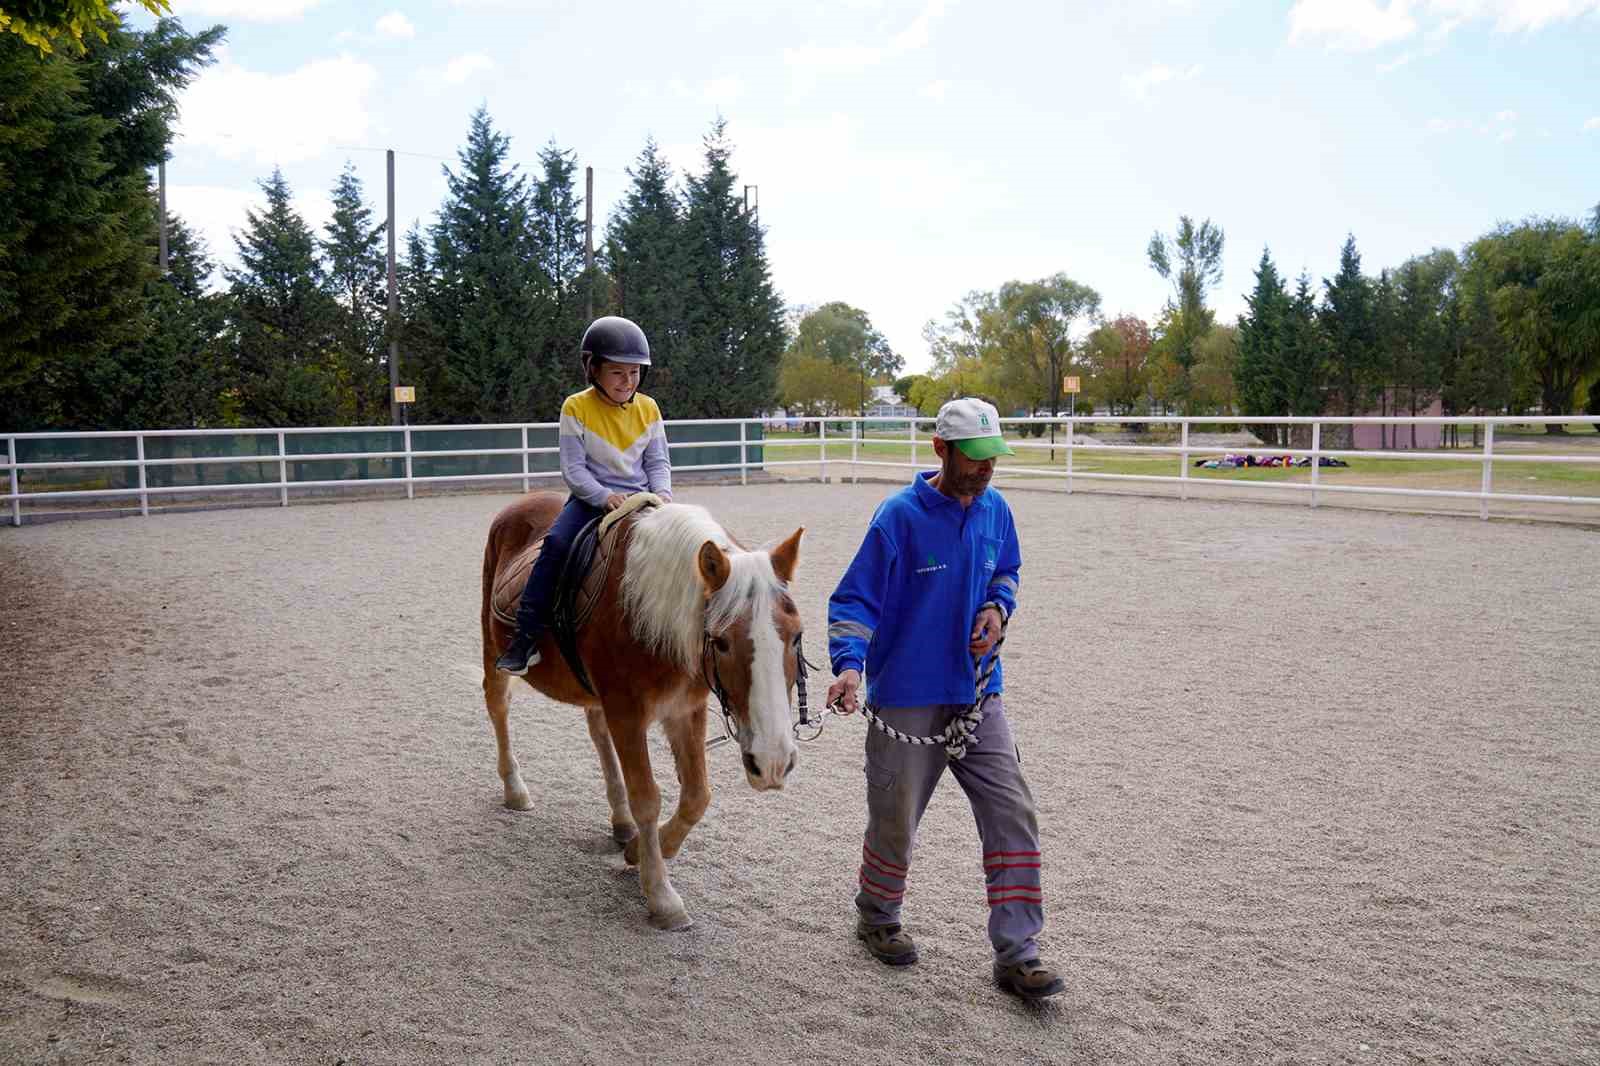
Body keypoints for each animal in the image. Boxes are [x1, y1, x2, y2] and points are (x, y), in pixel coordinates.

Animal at [470, 492, 800, 928]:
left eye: (796, 636)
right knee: (498, 705)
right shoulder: (627, 712)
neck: (646, 607)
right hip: (494, 649)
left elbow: (697, 796)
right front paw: (661, 896)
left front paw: (645, 849)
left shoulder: (685, 709)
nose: (773, 761)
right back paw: (515, 789)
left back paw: (621, 822)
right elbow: (647, 797)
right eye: (721, 642)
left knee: (596, 729)